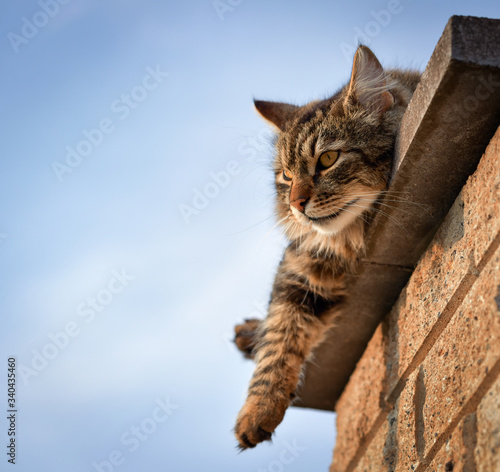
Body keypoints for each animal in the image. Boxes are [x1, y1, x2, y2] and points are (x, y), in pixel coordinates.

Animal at [232, 45, 420, 450]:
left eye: (328, 159)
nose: (295, 205)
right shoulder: (298, 271)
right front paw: (257, 412)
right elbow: (277, 343)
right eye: (286, 176)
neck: (348, 240)